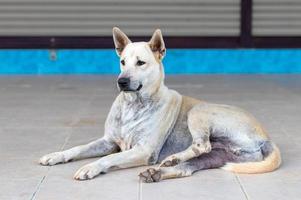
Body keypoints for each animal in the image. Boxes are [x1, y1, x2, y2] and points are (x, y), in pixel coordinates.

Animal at [38, 27, 280, 182]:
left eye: (141, 63)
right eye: (122, 62)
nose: (121, 81)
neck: (134, 105)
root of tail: (266, 138)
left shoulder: (143, 150)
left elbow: (110, 158)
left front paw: (91, 167)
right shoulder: (108, 141)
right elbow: (79, 148)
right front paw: (56, 155)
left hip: (198, 111)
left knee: (202, 145)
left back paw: (173, 158)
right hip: (219, 156)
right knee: (191, 166)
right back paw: (162, 171)